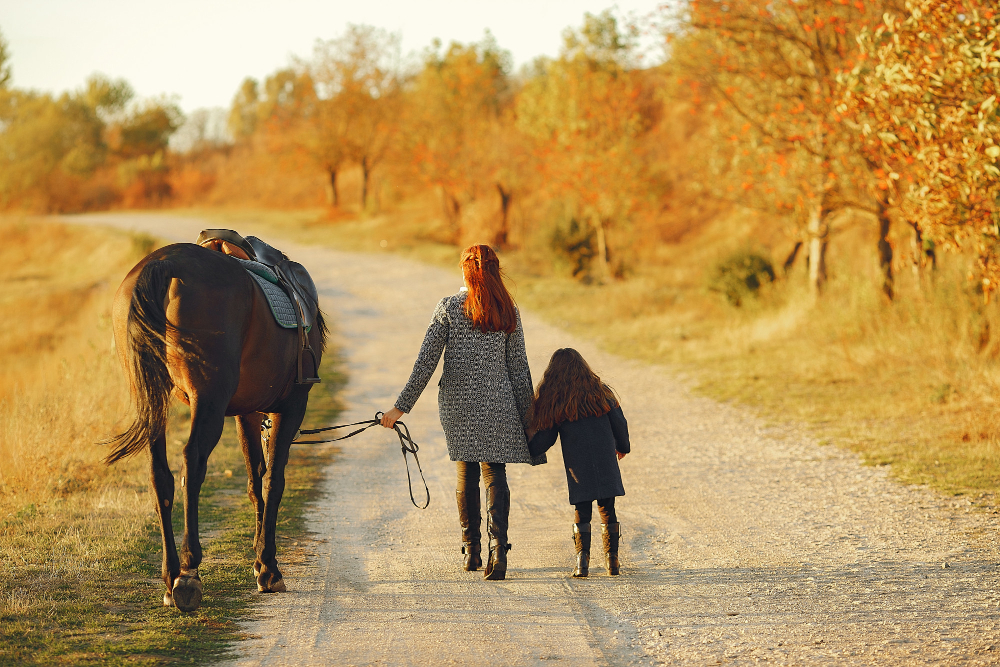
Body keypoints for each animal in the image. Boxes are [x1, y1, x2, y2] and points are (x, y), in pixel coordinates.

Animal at [104, 243, 326, 612]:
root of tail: (165, 262)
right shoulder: (291, 406)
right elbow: (272, 481)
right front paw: (269, 568)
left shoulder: (246, 413)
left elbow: (254, 481)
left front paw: (259, 561)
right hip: (209, 397)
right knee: (192, 462)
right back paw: (188, 574)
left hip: (154, 400)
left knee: (159, 475)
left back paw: (170, 576)